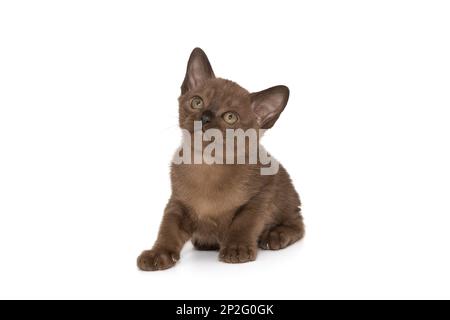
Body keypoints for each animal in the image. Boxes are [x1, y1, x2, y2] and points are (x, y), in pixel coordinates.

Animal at [139, 48, 304, 272]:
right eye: (197, 102)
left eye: (230, 117)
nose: (205, 117)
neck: (207, 166)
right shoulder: (177, 203)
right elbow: (167, 230)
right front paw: (158, 254)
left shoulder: (261, 195)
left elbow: (244, 222)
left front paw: (236, 249)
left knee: (298, 223)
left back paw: (275, 235)